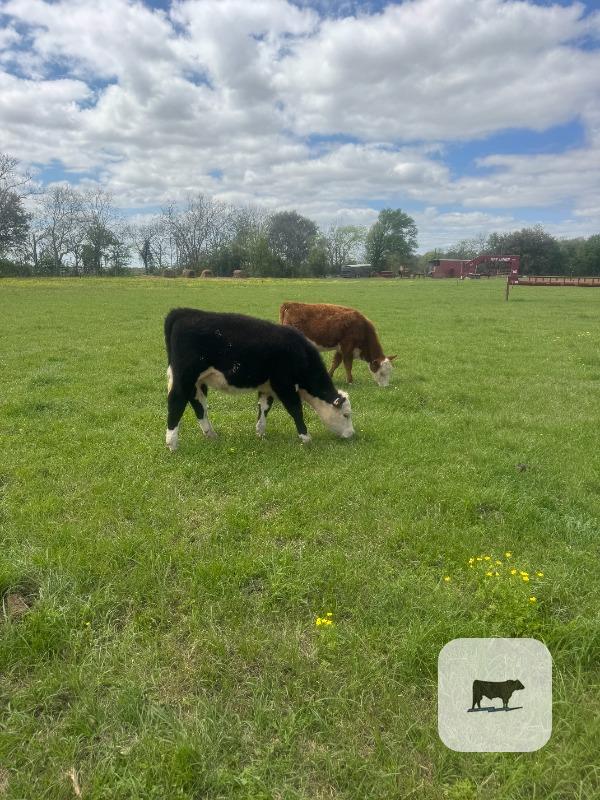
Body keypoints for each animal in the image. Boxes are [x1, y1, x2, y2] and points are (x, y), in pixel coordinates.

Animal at [164, 308, 354, 450]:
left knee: (198, 405)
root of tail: (183, 313)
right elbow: (296, 410)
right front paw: (306, 437)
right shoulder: (284, 385)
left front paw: (260, 432)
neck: (299, 353)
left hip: (197, 382)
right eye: (346, 415)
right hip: (184, 378)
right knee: (176, 402)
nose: (352, 434)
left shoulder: (267, 386)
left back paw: (211, 434)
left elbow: (264, 408)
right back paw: (172, 444)